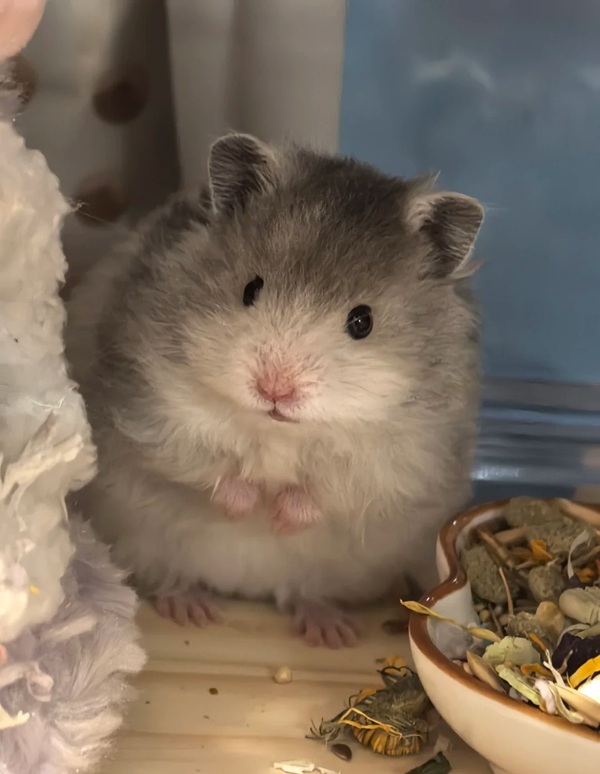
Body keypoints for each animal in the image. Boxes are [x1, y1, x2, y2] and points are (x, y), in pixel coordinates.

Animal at [66, 133, 484, 648]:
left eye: (362, 321)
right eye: (250, 289)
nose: (274, 389)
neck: (280, 430)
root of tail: (243, 589)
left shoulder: (400, 460)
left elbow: (326, 489)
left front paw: (280, 515)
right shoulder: (149, 407)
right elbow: (207, 464)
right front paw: (250, 508)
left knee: (304, 593)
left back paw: (332, 632)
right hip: (138, 539)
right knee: (169, 577)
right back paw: (194, 610)